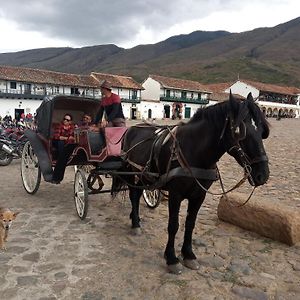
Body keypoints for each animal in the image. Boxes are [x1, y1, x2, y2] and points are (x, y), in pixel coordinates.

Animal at [113, 92, 270, 274]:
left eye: (262, 131)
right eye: (240, 132)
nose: (263, 175)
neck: (194, 151)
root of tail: (131, 128)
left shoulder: (199, 195)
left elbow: (190, 224)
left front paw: (188, 254)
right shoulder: (175, 194)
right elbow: (173, 225)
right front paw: (172, 258)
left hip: (142, 176)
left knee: (137, 194)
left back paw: (135, 218)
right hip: (132, 172)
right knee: (133, 195)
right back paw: (136, 223)